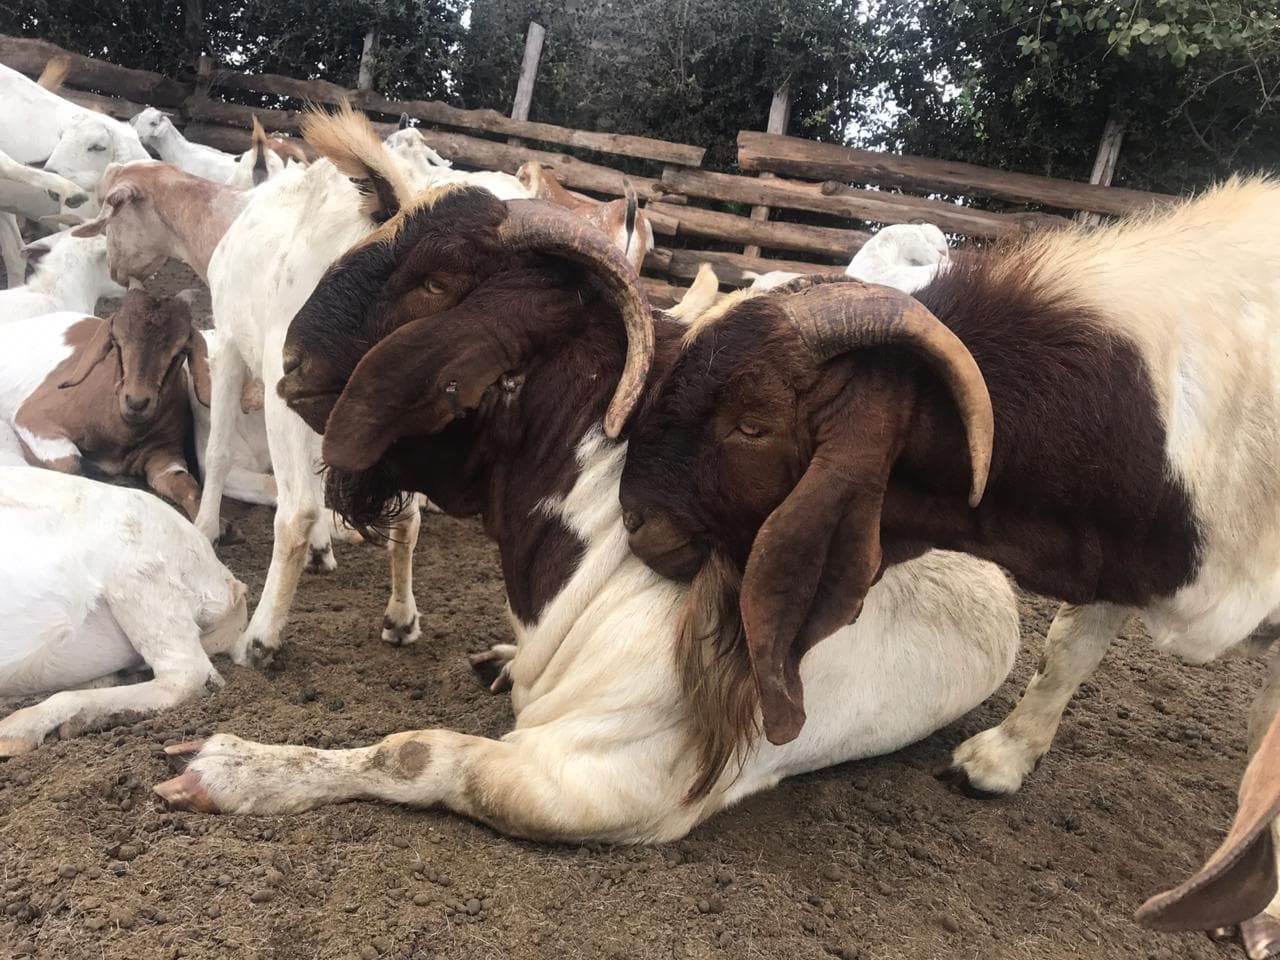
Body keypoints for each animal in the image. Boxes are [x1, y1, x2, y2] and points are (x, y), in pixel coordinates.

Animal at [0, 290, 209, 518]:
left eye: (180, 351)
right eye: (116, 340)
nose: (136, 402)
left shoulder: (164, 453)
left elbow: (186, 486)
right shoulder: (33, 418)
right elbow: (75, 465)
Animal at [152, 182, 1020, 843]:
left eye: (435, 281)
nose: (290, 363)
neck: (606, 548)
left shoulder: (604, 782)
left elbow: (416, 754)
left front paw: (228, 767)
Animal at [191, 104, 422, 664]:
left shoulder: (228, 345)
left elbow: (218, 451)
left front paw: (205, 531)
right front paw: (325, 549)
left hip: (286, 377)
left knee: (294, 510)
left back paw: (259, 641)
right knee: (408, 516)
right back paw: (401, 619)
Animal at [614, 178, 1280, 954]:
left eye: (753, 423)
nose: (634, 520)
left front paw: (1262, 908)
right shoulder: (1124, 546)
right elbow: (1068, 649)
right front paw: (1000, 761)